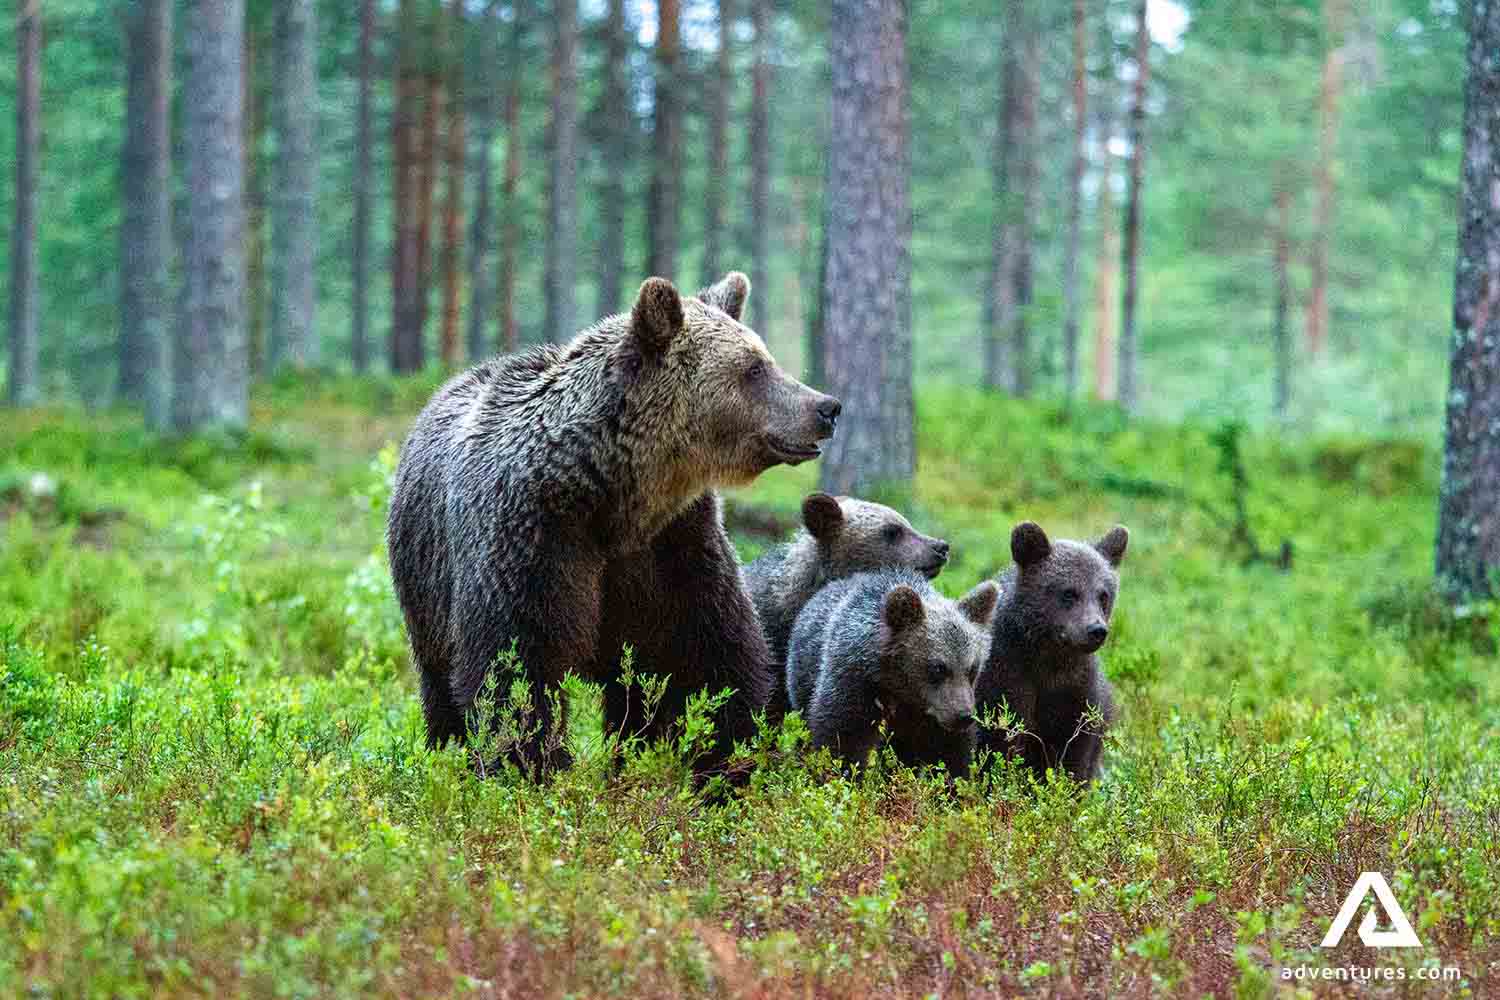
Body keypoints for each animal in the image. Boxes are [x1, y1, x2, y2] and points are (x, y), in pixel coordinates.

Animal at [386, 272, 841, 773]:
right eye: (755, 369)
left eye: (765, 358)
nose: (826, 407)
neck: (611, 494)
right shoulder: (531, 537)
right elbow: (516, 664)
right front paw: (533, 764)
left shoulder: (673, 543)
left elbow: (707, 654)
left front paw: (722, 756)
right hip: (425, 573)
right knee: (438, 677)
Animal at [786, 569, 999, 775]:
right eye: (939, 667)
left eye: (973, 668)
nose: (964, 715)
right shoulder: (854, 680)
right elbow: (842, 737)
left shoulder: (933, 712)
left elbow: (950, 752)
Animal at [973, 521, 1128, 784]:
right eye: (1069, 593)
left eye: (1103, 595)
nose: (1096, 630)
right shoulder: (1007, 679)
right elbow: (1003, 746)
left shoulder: (1078, 691)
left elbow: (1076, 755)